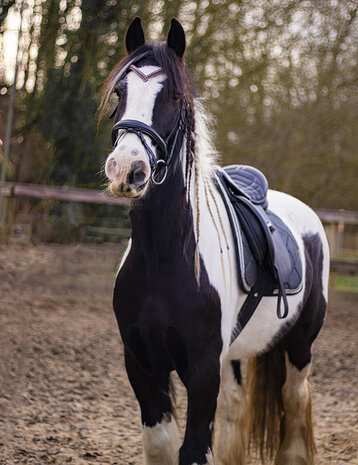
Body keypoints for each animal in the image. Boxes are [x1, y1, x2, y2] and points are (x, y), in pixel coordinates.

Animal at [98, 17, 330, 464]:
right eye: (120, 92)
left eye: (173, 95)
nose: (126, 170)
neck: (164, 256)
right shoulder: (142, 366)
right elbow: (162, 446)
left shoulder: (203, 369)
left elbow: (192, 450)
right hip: (235, 357)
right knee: (236, 411)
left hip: (300, 346)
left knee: (294, 405)